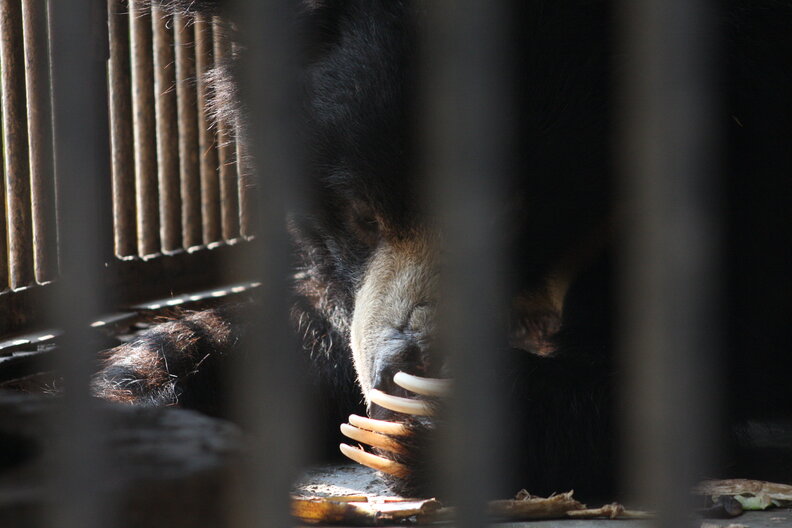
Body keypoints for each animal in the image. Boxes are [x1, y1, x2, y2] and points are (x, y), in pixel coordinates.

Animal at [93, 0, 792, 501]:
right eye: (361, 214)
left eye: (507, 211)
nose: (399, 367)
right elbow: (317, 322)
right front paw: (135, 399)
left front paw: (426, 422)